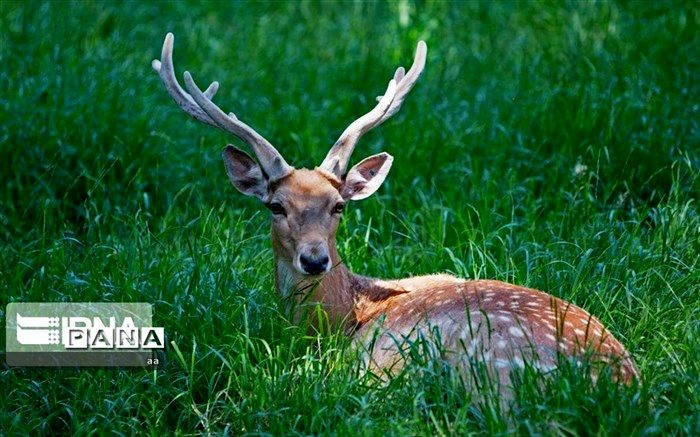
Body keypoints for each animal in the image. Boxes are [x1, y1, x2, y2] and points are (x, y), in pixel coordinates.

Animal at [153, 33, 640, 396]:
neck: (347, 316)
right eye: (276, 206)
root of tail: (618, 386)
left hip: (479, 362)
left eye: (339, 206)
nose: (314, 259)